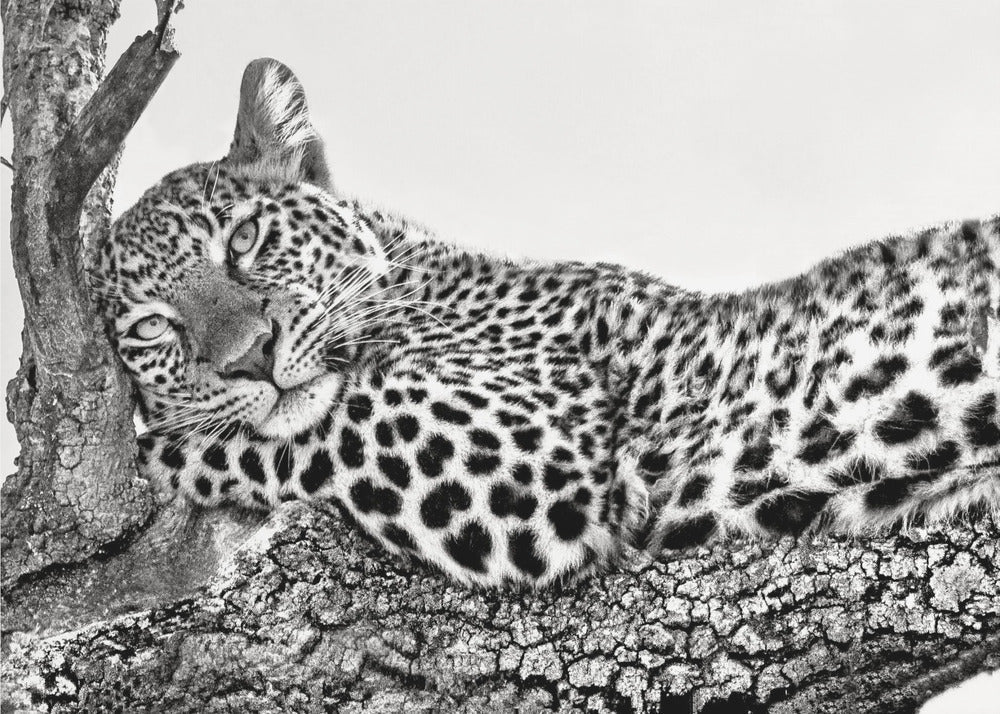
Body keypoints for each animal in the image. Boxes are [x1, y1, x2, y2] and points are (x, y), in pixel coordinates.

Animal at [91, 58, 1000, 589]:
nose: (252, 357)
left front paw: (157, 449)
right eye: (151, 330)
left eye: (244, 239)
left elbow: (311, 427)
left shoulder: (534, 452)